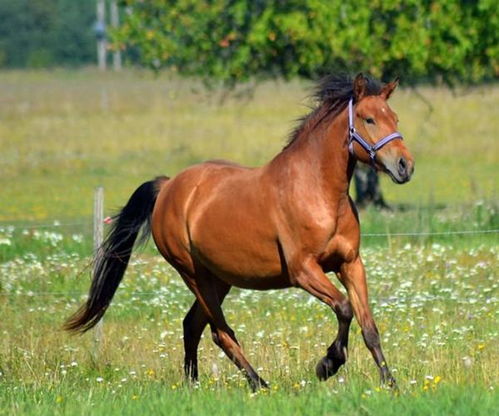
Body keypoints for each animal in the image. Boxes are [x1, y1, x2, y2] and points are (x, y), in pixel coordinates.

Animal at [65, 74, 414, 390]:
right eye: (369, 119)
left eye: (395, 117)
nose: (405, 166)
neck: (318, 192)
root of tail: (168, 186)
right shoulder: (303, 270)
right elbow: (344, 308)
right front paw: (327, 364)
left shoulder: (350, 264)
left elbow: (369, 326)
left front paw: (390, 384)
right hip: (194, 275)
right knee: (220, 332)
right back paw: (258, 383)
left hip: (219, 278)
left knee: (192, 325)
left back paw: (193, 384)